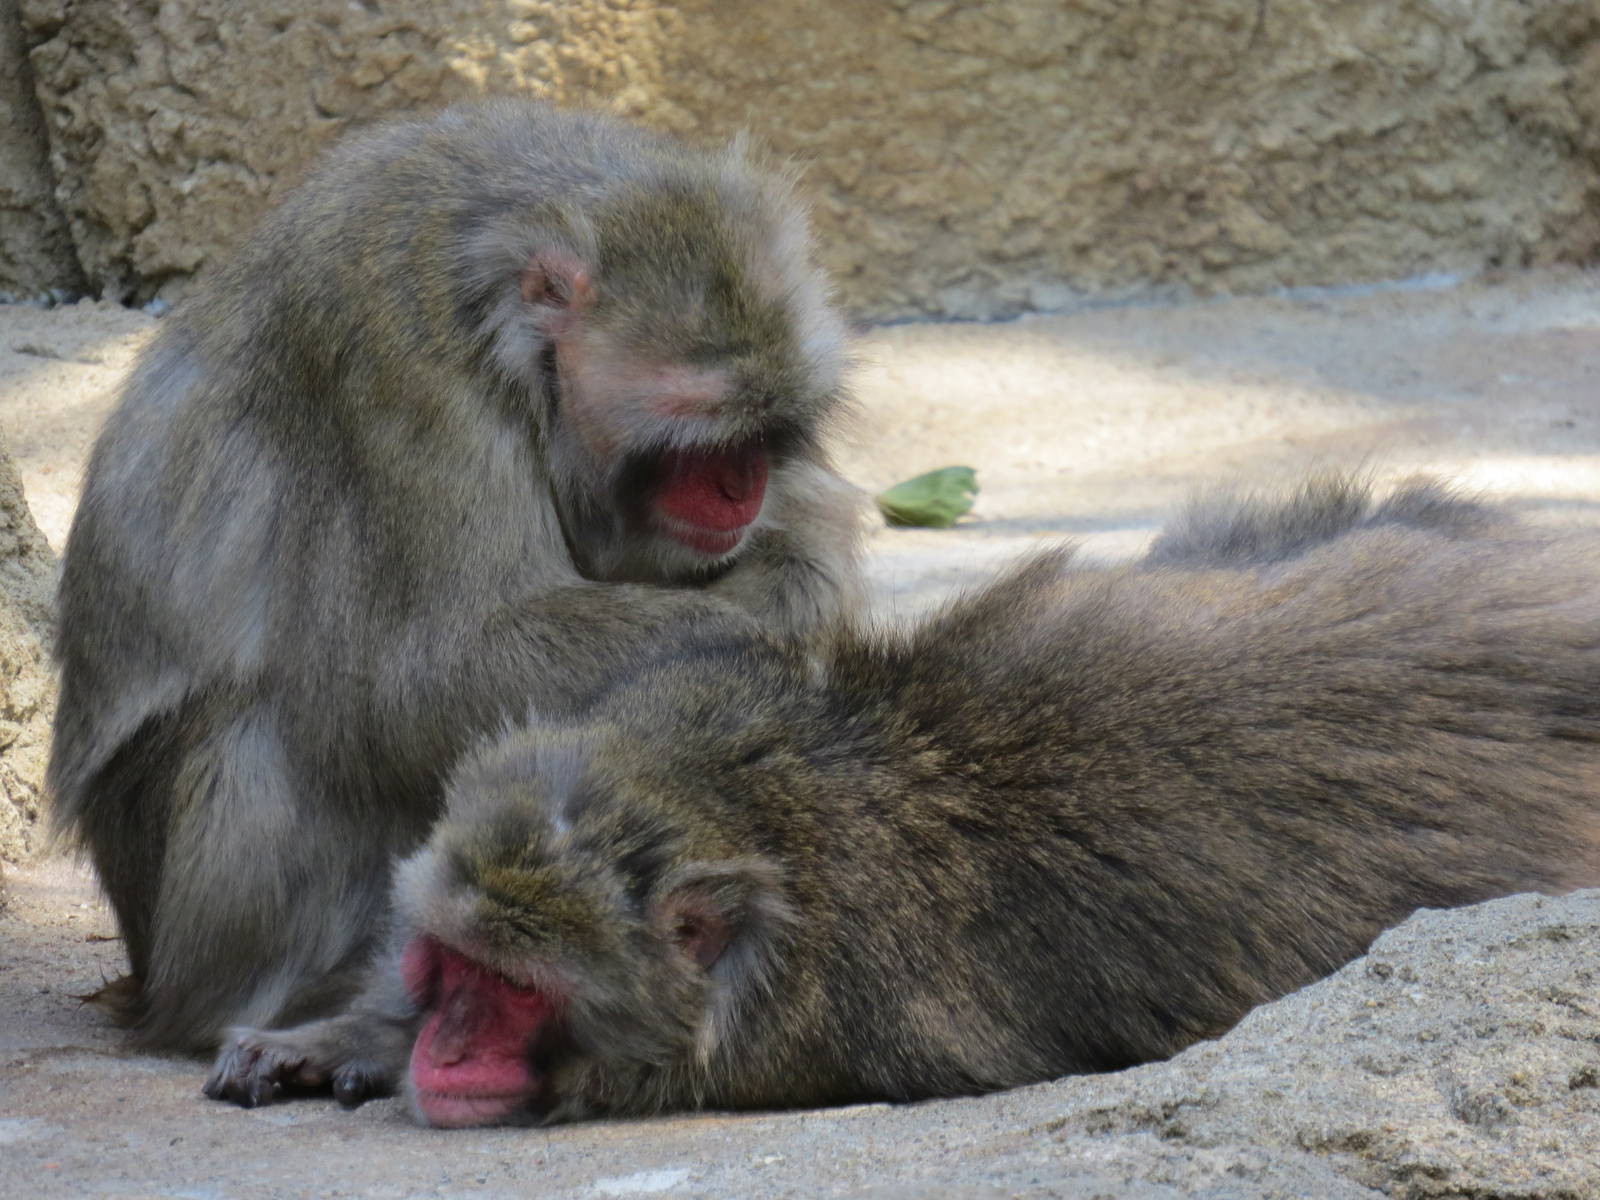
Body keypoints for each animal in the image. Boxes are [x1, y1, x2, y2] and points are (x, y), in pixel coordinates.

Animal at [48, 99, 865, 1052]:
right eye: (701, 438)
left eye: (766, 429)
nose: (744, 488)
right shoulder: (392, 363)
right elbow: (412, 685)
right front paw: (794, 613)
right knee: (278, 727)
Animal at [204, 475, 1600, 1126]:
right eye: (449, 968)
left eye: (508, 995)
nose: (443, 1053)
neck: (779, 807)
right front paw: (339, 1037)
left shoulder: (827, 1024)